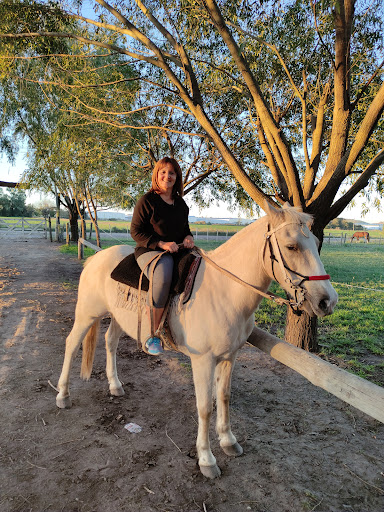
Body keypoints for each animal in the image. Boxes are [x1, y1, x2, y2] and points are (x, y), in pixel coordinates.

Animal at [56, 202, 336, 478]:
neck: (224, 291)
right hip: (87, 314)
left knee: (110, 342)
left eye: (315, 242)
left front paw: (228, 441)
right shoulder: (203, 361)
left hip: (117, 317)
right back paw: (63, 395)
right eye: (291, 246)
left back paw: (114, 385)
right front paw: (206, 459)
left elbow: (223, 397)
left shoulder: (229, 357)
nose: (327, 301)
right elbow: (204, 407)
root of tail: (97, 258)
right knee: (71, 344)